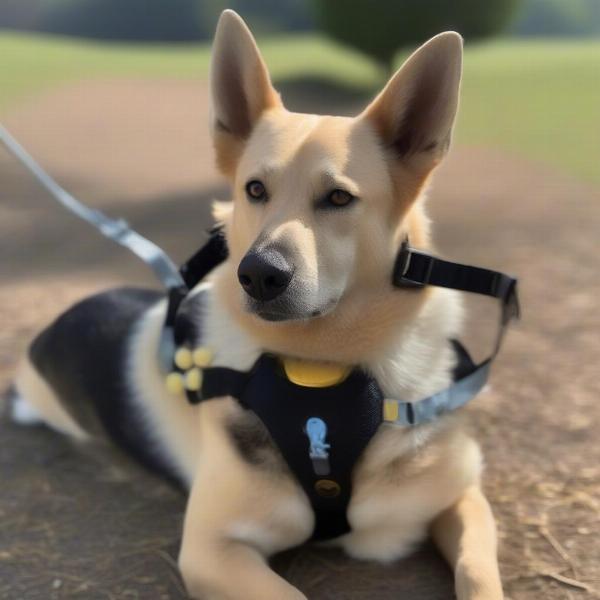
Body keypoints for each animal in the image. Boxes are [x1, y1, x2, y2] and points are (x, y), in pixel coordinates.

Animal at [11, 9, 504, 600]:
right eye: (254, 190)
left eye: (339, 197)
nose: (259, 275)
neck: (323, 368)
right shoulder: (212, 549)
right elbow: (289, 595)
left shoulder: (462, 495)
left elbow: (477, 570)